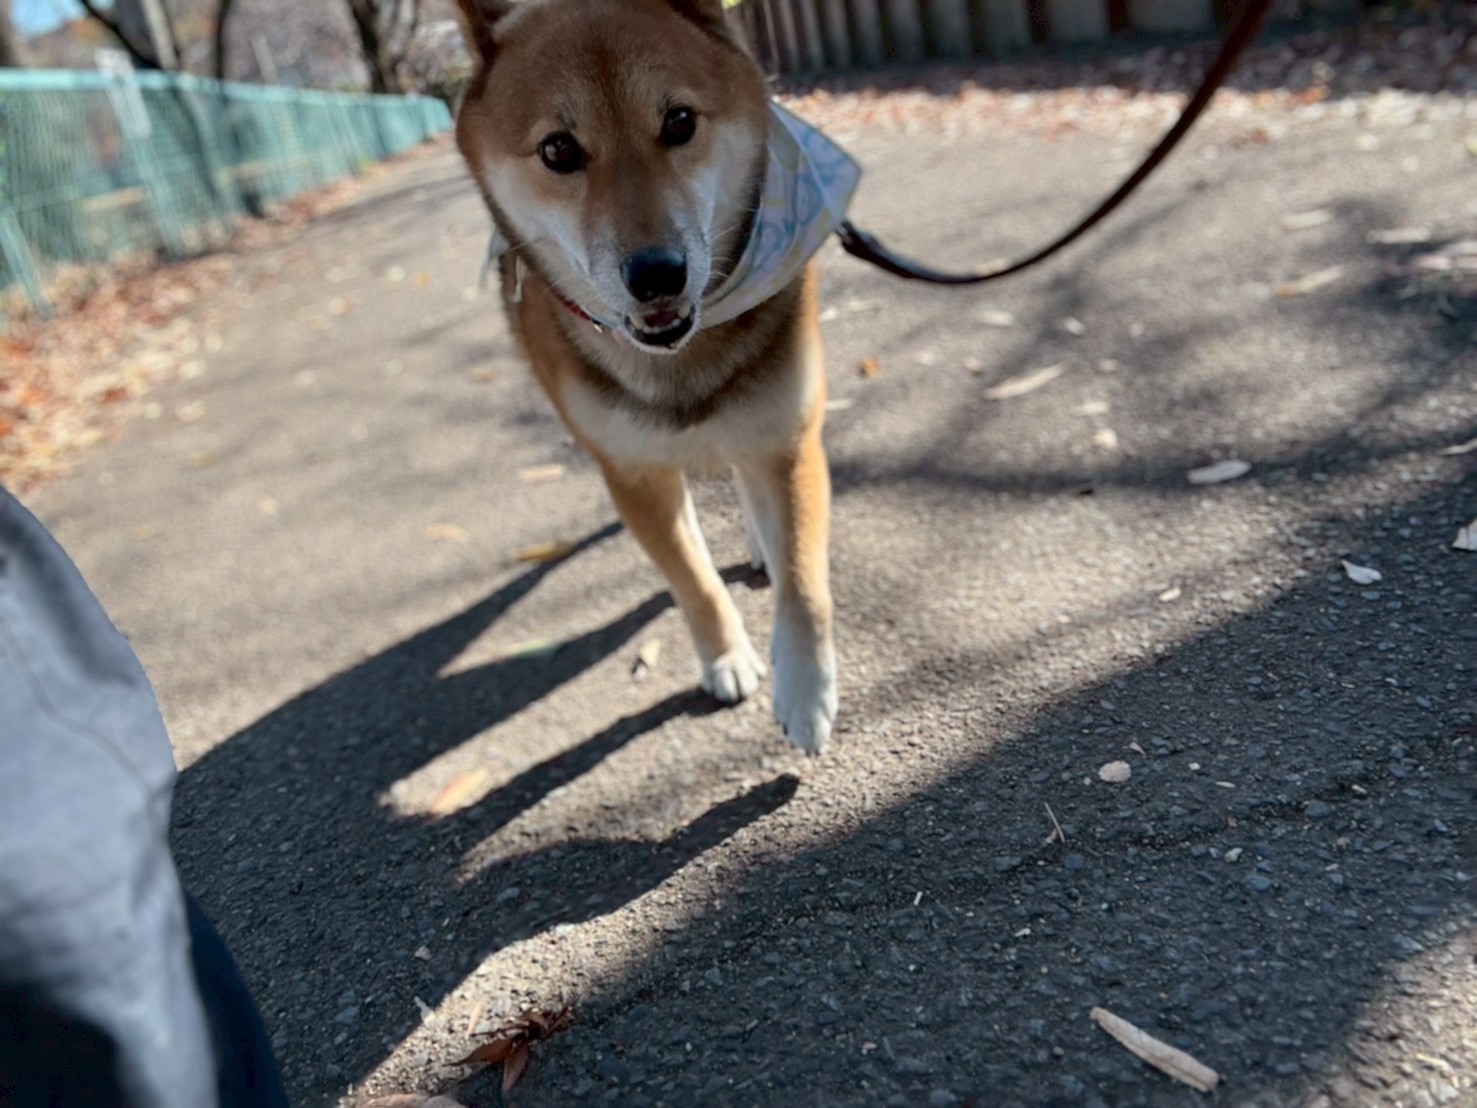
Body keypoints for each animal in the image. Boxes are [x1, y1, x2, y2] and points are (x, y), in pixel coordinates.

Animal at [452, 0, 859, 754]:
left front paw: (806, 690)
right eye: (558, 150)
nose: (657, 274)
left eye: (678, 122)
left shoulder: (787, 437)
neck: (678, 358)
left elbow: (803, 577)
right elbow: (690, 576)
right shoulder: (632, 472)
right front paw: (727, 657)